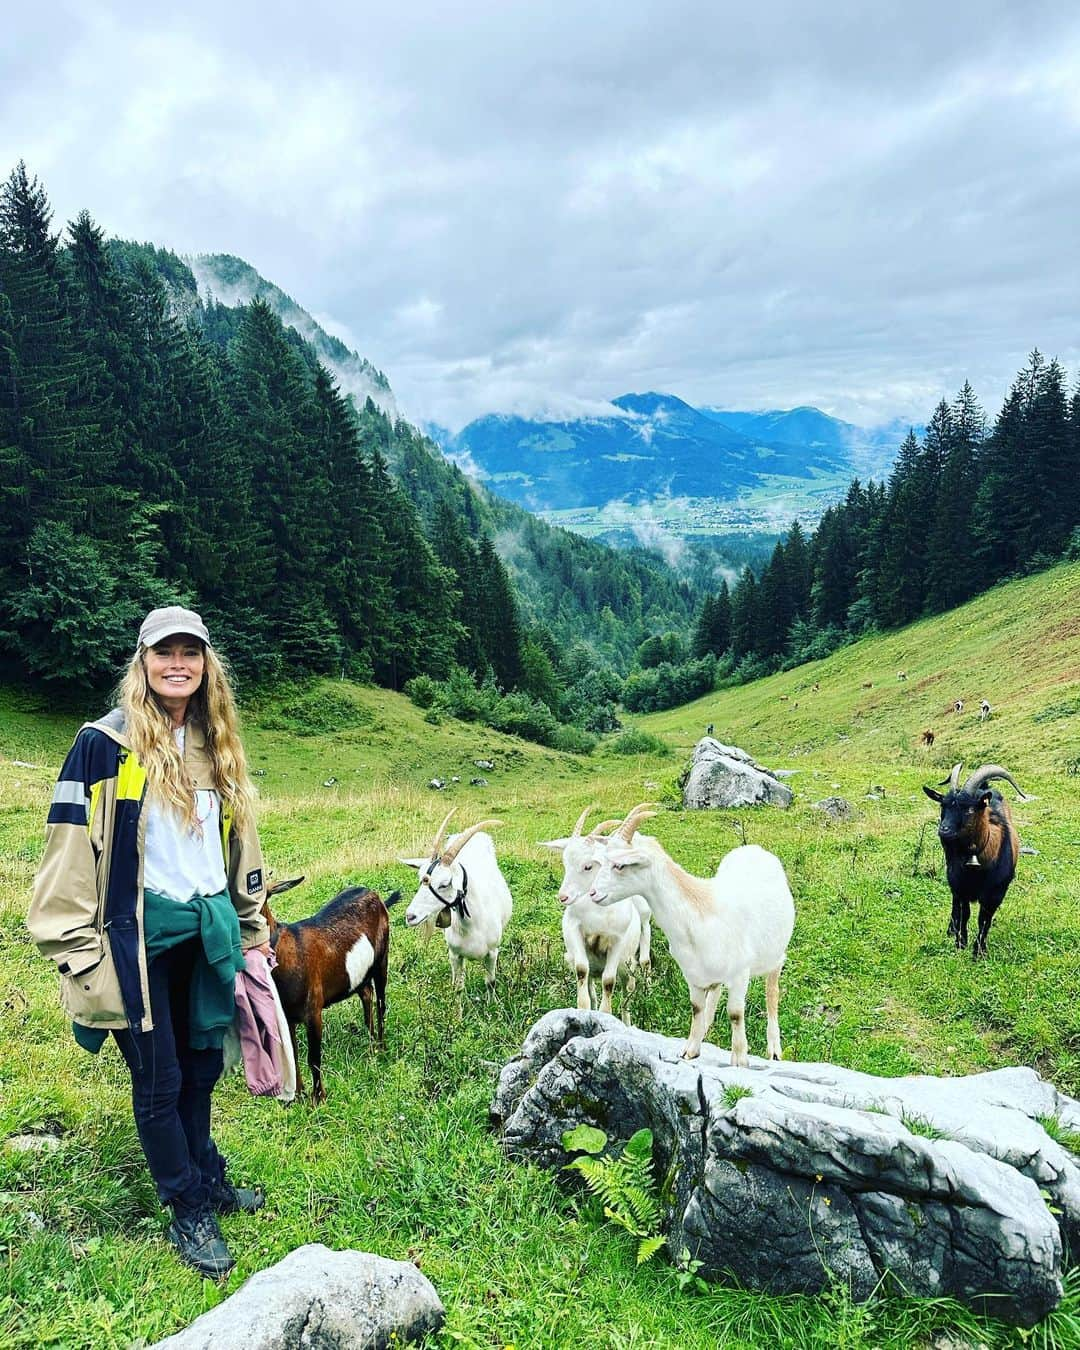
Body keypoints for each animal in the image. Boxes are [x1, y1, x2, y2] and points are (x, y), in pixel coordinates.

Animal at [399, 810, 510, 993]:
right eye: (420, 878)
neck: (473, 925)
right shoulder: (455, 955)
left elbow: (490, 984)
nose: (410, 916)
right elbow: (458, 988)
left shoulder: (492, 953)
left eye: (444, 884)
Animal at [540, 799, 650, 1015]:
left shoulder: (617, 939)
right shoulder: (575, 929)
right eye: (565, 863)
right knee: (592, 985)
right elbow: (582, 971)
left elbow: (608, 981)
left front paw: (605, 1014)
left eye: (588, 866)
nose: (563, 897)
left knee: (629, 990)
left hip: (630, 958)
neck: (599, 913)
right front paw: (584, 1010)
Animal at [585, 799, 799, 1063]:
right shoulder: (693, 974)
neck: (701, 912)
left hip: (775, 954)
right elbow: (697, 1008)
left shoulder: (740, 973)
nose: (593, 893)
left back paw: (774, 1049)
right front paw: (691, 1049)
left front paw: (739, 1059)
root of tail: (755, 850)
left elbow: (735, 1013)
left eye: (620, 865)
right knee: (715, 993)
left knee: (772, 991)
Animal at [918, 761, 1031, 961]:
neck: (976, 868)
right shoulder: (961, 886)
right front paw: (960, 943)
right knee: (954, 902)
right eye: (943, 806)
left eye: (969, 809)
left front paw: (979, 951)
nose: (944, 830)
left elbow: (984, 920)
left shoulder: (996, 893)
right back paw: (951, 930)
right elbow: (965, 913)